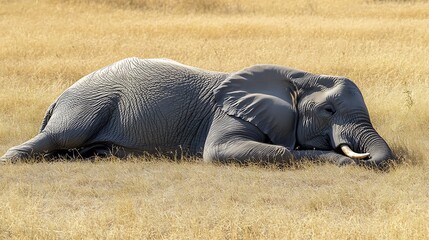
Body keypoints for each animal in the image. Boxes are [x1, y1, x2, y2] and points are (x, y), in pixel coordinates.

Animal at [0, 57, 394, 168]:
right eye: (328, 109)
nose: (366, 159)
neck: (297, 76)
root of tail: (60, 96)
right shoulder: (227, 114)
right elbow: (222, 152)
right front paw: (336, 160)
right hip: (88, 104)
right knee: (61, 135)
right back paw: (12, 160)